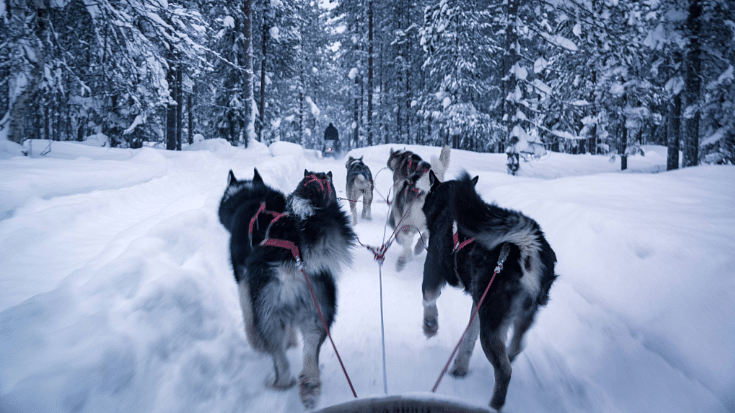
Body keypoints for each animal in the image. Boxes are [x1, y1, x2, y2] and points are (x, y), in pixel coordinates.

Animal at [218, 168, 356, 408]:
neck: (251, 197)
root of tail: (292, 261)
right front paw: (291, 341)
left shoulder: (243, 281)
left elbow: (247, 317)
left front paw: (254, 342)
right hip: (317, 315)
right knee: (310, 350)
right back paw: (309, 387)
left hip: (267, 314)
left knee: (278, 356)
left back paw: (279, 381)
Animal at [422, 170, 556, 408]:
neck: (445, 207)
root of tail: (527, 245)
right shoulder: (478, 303)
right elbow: (468, 338)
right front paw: (460, 366)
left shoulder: (432, 271)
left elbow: (429, 298)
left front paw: (430, 325)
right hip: (517, 314)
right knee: (516, 347)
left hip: (492, 322)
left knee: (504, 371)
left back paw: (494, 405)